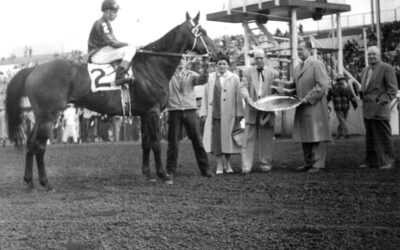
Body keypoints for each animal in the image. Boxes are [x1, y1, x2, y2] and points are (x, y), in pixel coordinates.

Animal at [4, 12, 217, 190]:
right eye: (203, 32)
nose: (217, 53)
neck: (151, 66)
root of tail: (33, 68)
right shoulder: (153, 111)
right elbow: (156, 143)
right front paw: (163, 175)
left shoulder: (142, 113)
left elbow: (146, 143)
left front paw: (148, 174)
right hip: (49, 116)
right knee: (40, 146)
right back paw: (46, 183)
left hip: (40, 117)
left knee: (30, 143)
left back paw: (29, 182)